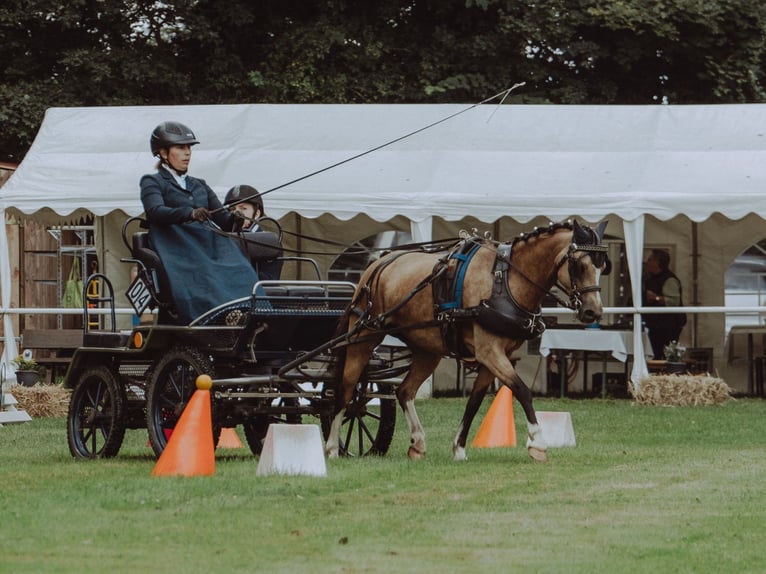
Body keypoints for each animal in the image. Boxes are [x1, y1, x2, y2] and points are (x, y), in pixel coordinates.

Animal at [324, 219, 612, 464]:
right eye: (579, 265)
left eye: (602, 266)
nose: (593, 312)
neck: (505, 280)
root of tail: (378, 263)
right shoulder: (489, 351)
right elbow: (521, 390)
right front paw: (538, 443)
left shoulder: (496, 357)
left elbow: (474, 402)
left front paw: (459, 448)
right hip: (363, 337)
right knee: (346, 390)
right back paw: (332, 447)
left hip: (428, 350)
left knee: (404, 391)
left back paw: (418, 442)